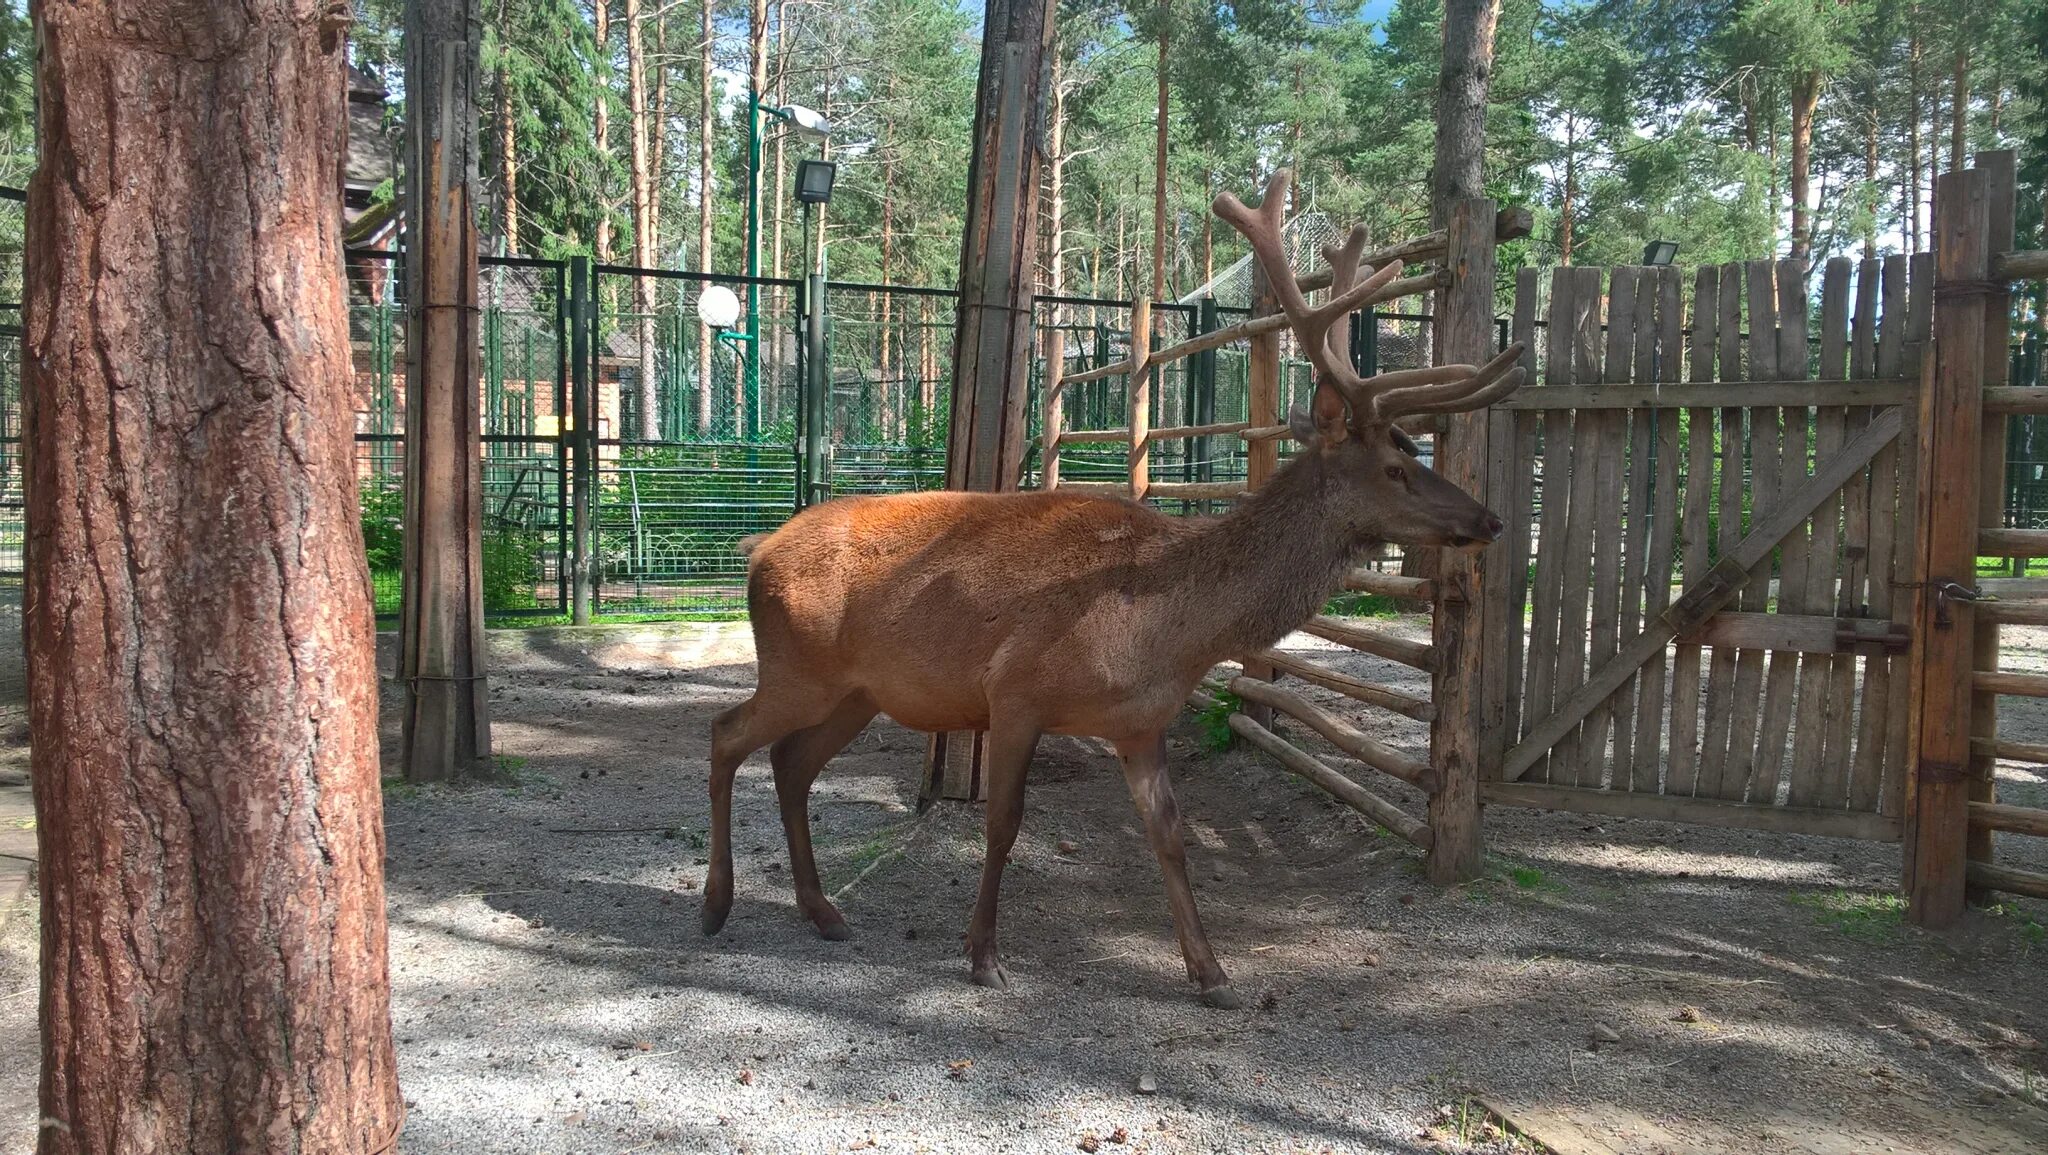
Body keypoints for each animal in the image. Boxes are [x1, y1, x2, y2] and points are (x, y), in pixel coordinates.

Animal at [704, 166, 1523, 1007]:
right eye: (1395, 466)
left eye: (1415, 449)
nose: (1488, 519)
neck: (1167, 634)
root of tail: (757, 550)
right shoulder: (1015, 691)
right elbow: (1004, 823)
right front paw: (984, 954)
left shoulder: (1140, 723)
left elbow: (1170, 835)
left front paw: (1212, 971)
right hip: (798, 666)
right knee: (726, 733)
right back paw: (716, 905)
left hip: (859, 689)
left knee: (790, 763)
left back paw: (822, 909)